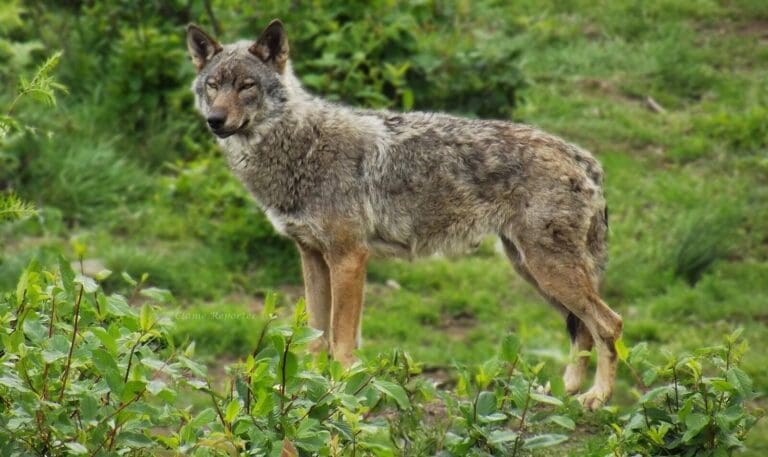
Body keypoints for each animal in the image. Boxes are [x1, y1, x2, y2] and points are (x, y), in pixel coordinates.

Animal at [186, 19, 623, 409]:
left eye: (247, 86)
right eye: (213, 85)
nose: (215, 121)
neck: (300, 148)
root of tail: (582, 157)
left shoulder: (349, 257)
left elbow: (341, 340)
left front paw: (341, 391)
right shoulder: (311, 256)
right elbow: (315, 336)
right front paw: (303, 389)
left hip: (549, 271)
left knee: (608, 323)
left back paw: (597, 398)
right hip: (532, 271)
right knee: (583, 329)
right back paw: (563, 393)